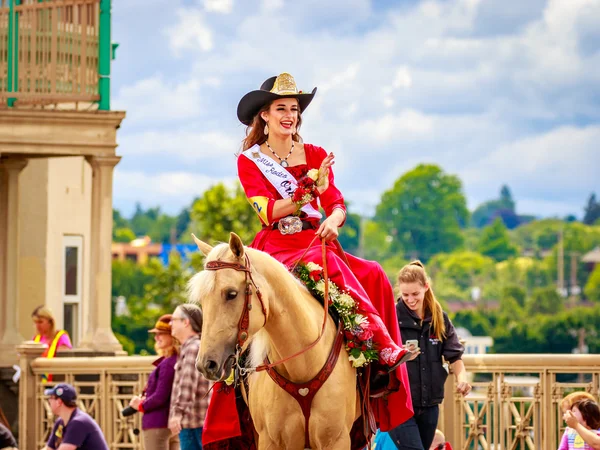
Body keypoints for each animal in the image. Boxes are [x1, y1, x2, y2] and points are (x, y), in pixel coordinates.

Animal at [190, 234, 358, 450]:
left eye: (231, 293)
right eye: (203, 299)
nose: (206, 364)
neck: (303, 366)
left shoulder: (337, 439)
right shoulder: (270, 440)